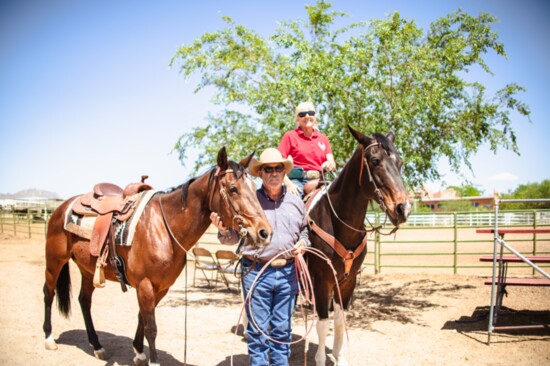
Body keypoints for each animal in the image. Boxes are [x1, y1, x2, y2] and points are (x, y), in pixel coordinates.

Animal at [43, 147, 274, 364]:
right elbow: (151, 327)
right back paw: (49, 338)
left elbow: (142, 319)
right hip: (54, 261)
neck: (164, 227)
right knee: (49, 293)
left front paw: (138, 352)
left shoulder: (161, 287)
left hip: (88, 269)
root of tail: (62, 207)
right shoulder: (145, 285)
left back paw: (97, 346)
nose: (265, 232)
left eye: (253, 188)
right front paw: (152, 360)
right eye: (233, 189)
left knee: (84, 301)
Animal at [308, 126, 412, 366]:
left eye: (400, 162)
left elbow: (339, 320)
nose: (403, 208)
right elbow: (322, 324)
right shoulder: (321, 281)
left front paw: (339, 357)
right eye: (375, 161)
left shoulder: (348, 282)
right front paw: (320, 359)